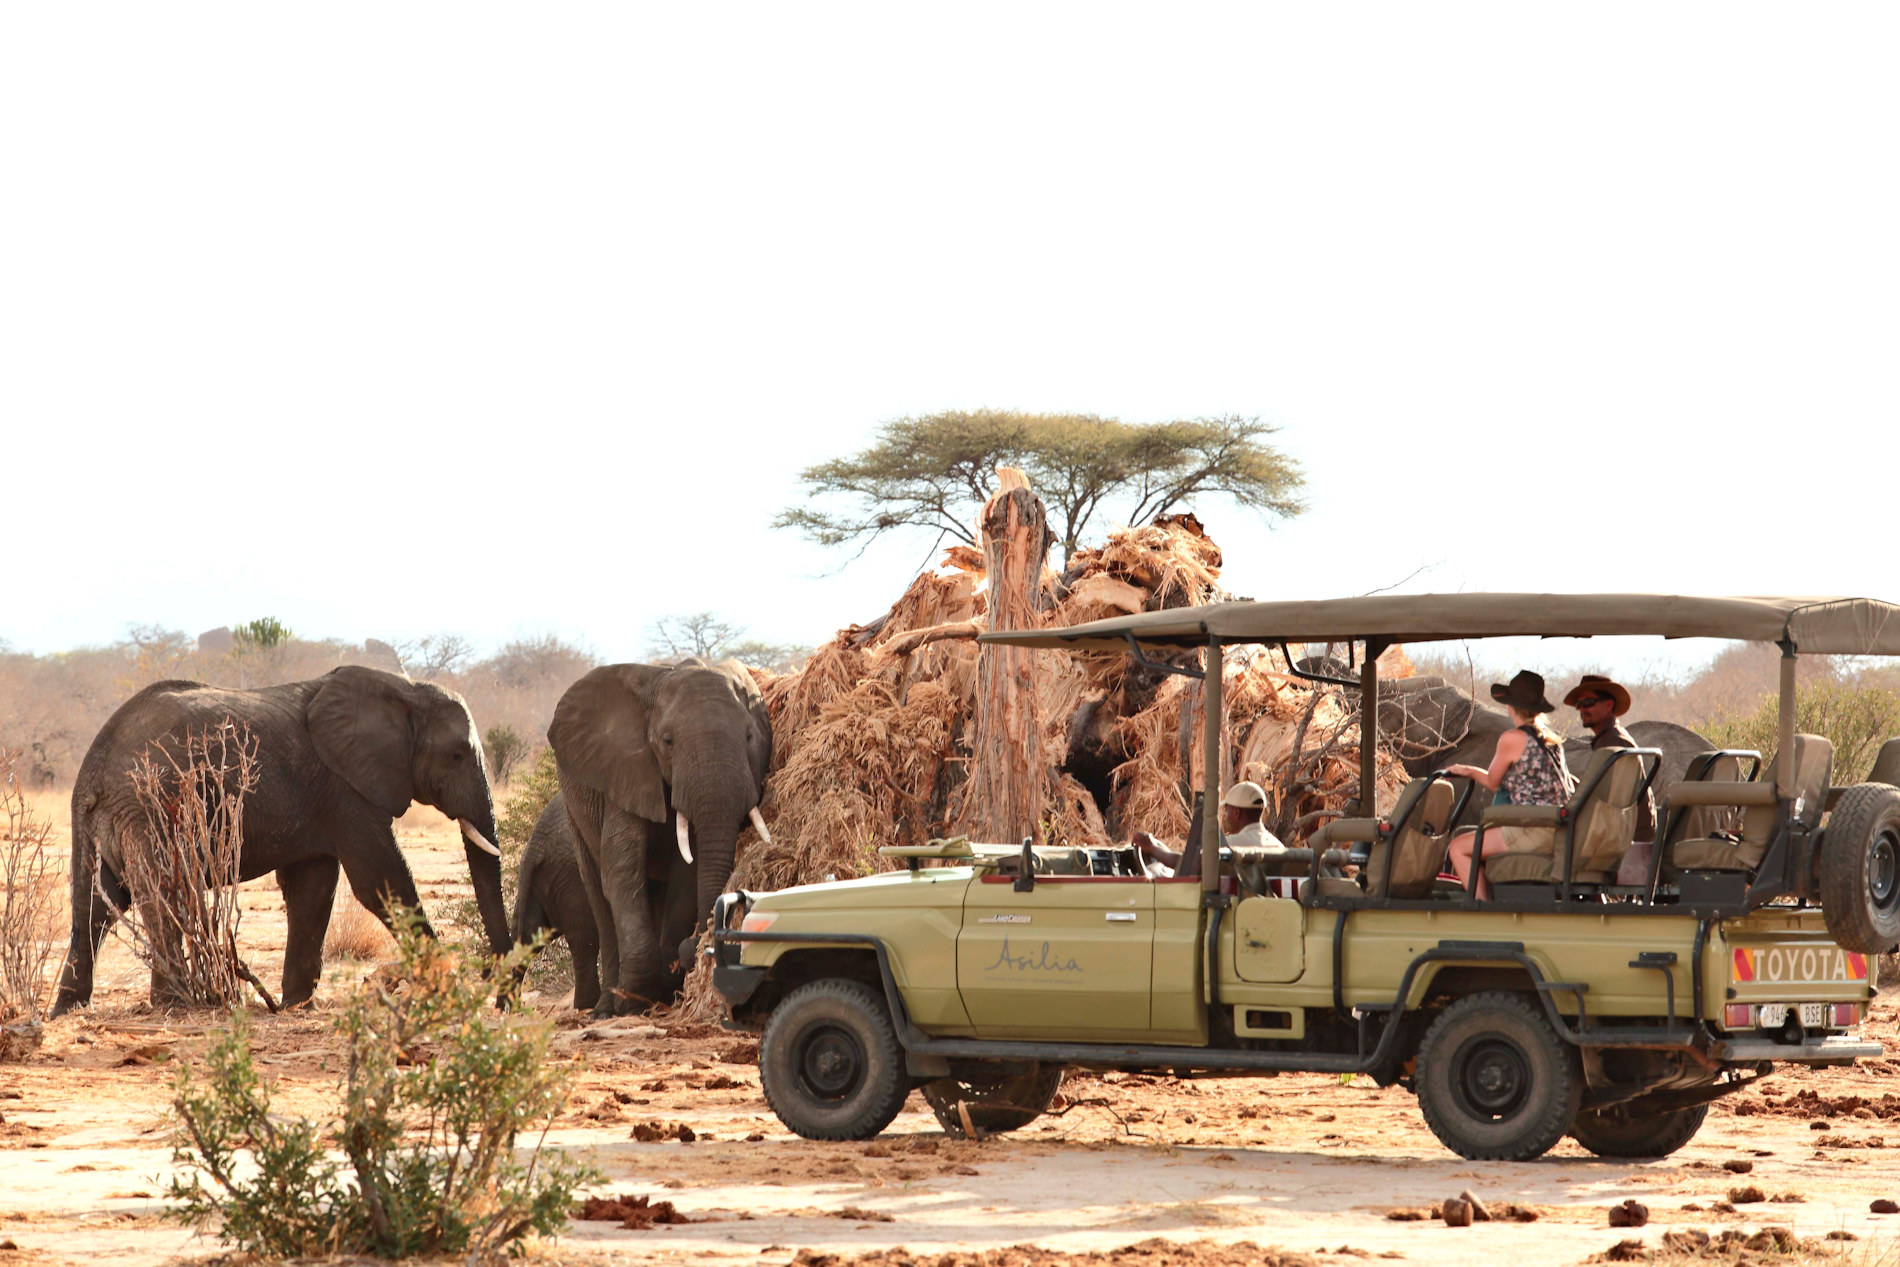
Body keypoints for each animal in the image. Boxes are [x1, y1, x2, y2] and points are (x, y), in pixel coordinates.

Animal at [52, 668, 513, 1018]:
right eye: (456, 756)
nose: (501, 1000)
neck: (405, 689)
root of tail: (94, 767)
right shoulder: (348, 788)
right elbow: (380, 880)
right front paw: (449, 987)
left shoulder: (324, 801)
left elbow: (313, 888)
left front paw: (295, 1004)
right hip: (151, 807)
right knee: (164, 892)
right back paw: (177, 1005)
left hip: (100, 819)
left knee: (94, 904)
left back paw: (68, 1009)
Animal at [543, 661, 771, 1018]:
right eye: (667, 741)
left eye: (749, 736)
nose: (694, 946)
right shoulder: (625, 770)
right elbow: (621, 870)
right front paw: (631, 1000)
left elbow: (686, 875)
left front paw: (658, 989)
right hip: (574, 812)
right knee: (598, 893)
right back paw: (605, 1007)